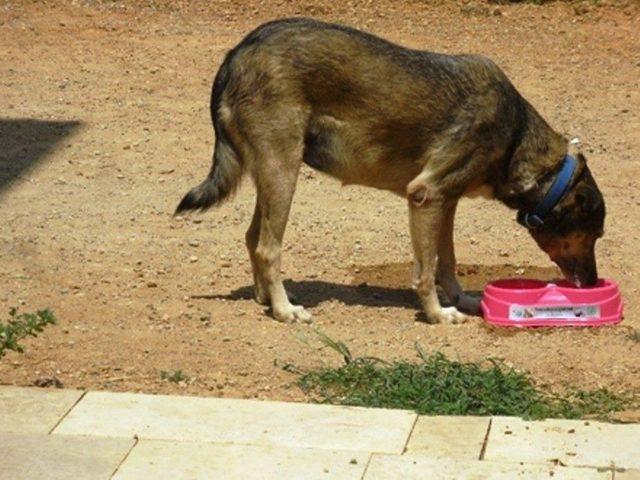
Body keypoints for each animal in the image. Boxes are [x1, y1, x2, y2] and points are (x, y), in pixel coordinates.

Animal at [175, 17, 604, 322]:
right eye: (594, 234)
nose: (594, 283)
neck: (516, 133)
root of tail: (238, 51)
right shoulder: (426, 196)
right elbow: (426, 270)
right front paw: (436, 314)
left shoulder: (445, 203)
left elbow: (447, 261)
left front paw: (460, 300)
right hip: (283, 171)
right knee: (268, 247)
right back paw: (283, 311)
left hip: (272, 174)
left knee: (253, 237)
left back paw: (266, 297)